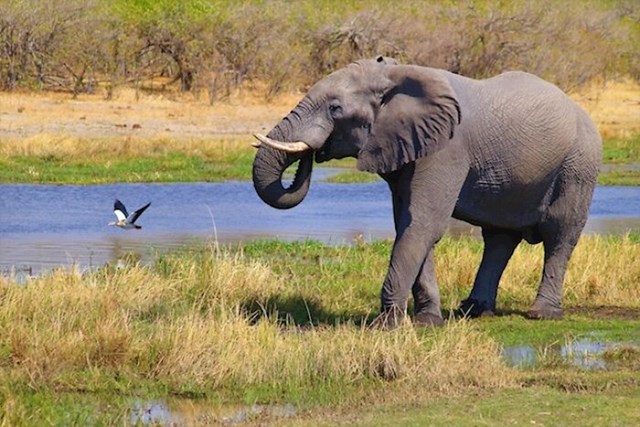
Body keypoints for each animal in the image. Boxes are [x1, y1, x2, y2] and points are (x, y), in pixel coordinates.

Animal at [250, 56, 600, 328]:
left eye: (335, 108)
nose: (312, 153)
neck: (396, 75)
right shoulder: (408, 148)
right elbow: (410, 223)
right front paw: (428, 321)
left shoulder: (446, 150)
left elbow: (422, 224)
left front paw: (387, 326)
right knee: (499, 237)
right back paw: (473, 311)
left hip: (578, 166)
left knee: (559, 234)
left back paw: (543, 314)